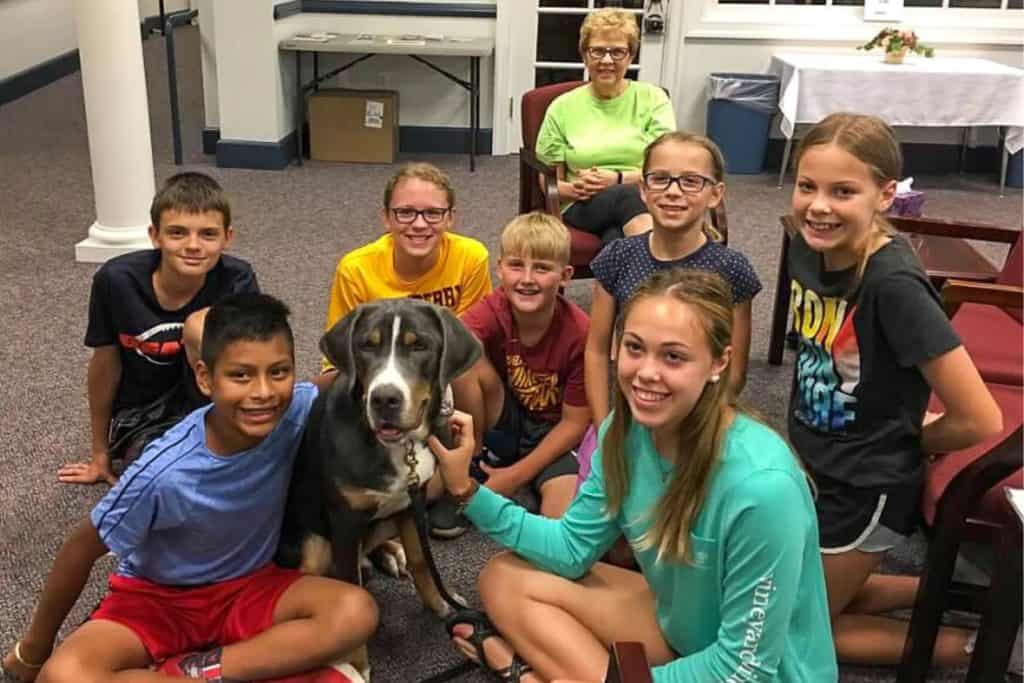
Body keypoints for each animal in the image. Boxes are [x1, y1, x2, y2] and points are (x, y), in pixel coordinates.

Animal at [278, 299, 481, 618]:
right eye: (366, 346)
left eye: (419, 345)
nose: (384, 399)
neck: (401, 448)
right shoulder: (345, 521)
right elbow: (351, 585)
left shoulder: (413, 501)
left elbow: (421, 560)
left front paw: (439, 603)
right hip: (313, 546)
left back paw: (391, 553)